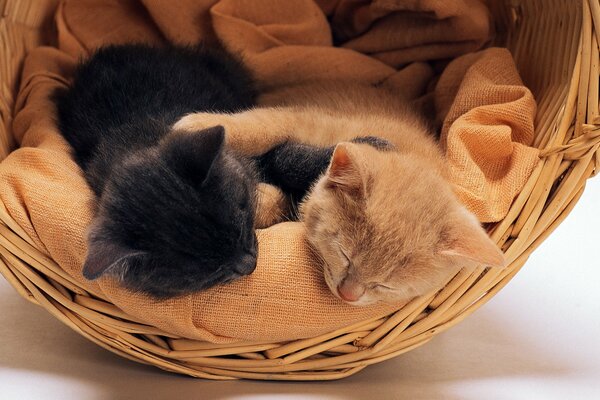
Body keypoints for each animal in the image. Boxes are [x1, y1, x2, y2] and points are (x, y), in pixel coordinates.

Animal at [173, 82, 506, 306]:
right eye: (345, 254)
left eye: (385, 285)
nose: (348, 295)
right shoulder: (304, 118)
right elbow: (262, 127)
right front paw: (195, 125)